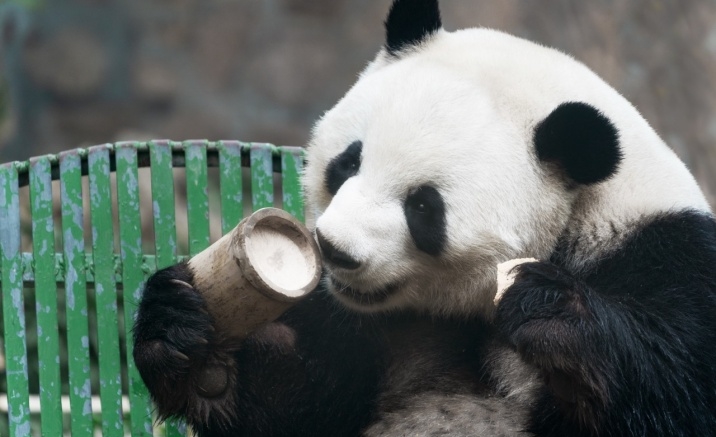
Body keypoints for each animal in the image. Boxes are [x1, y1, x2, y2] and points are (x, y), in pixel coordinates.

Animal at [132, 0, 716, 436]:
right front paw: (185, 338)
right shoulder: (355, 321)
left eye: (422, 207)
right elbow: (295, 410)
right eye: (348, 162)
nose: (333, 249)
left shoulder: (670, 263)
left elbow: (678, 392)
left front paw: (552, 313)